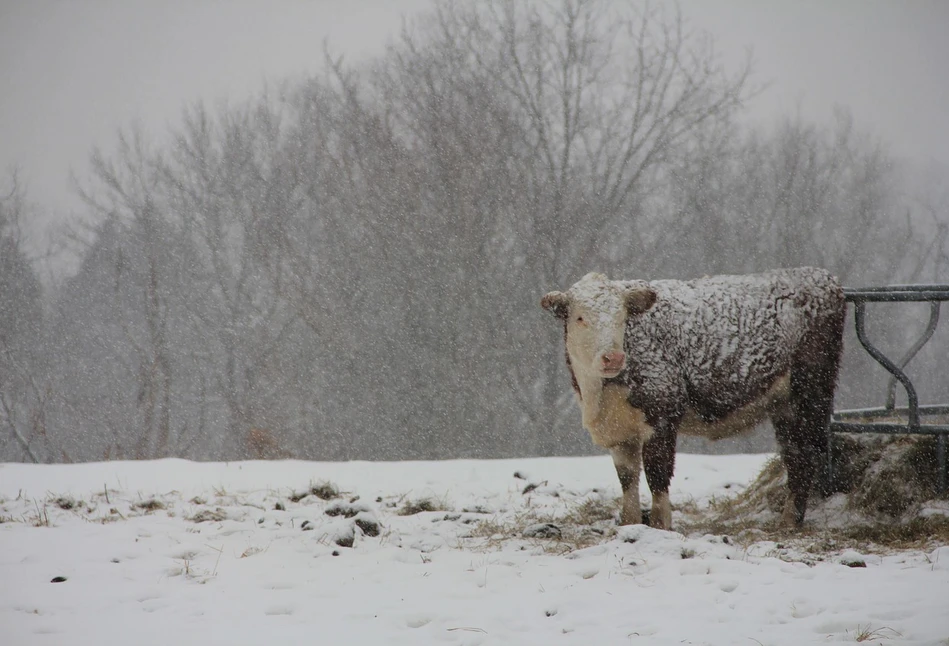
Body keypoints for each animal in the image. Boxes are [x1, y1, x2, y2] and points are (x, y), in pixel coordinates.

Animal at [540, 266, 844, 528]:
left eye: (622, 317)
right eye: (580, 318)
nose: (613, 357)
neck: (598, 395)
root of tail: (822, 277)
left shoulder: (662, 414)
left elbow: (657, 476)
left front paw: (661, 527)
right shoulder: (619, 431)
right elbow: (628, 480)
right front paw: (630, 524)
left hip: (811, 391)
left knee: (809, 452)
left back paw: (791, 520)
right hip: (783, 405)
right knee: (795, 455)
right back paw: (788, 521)